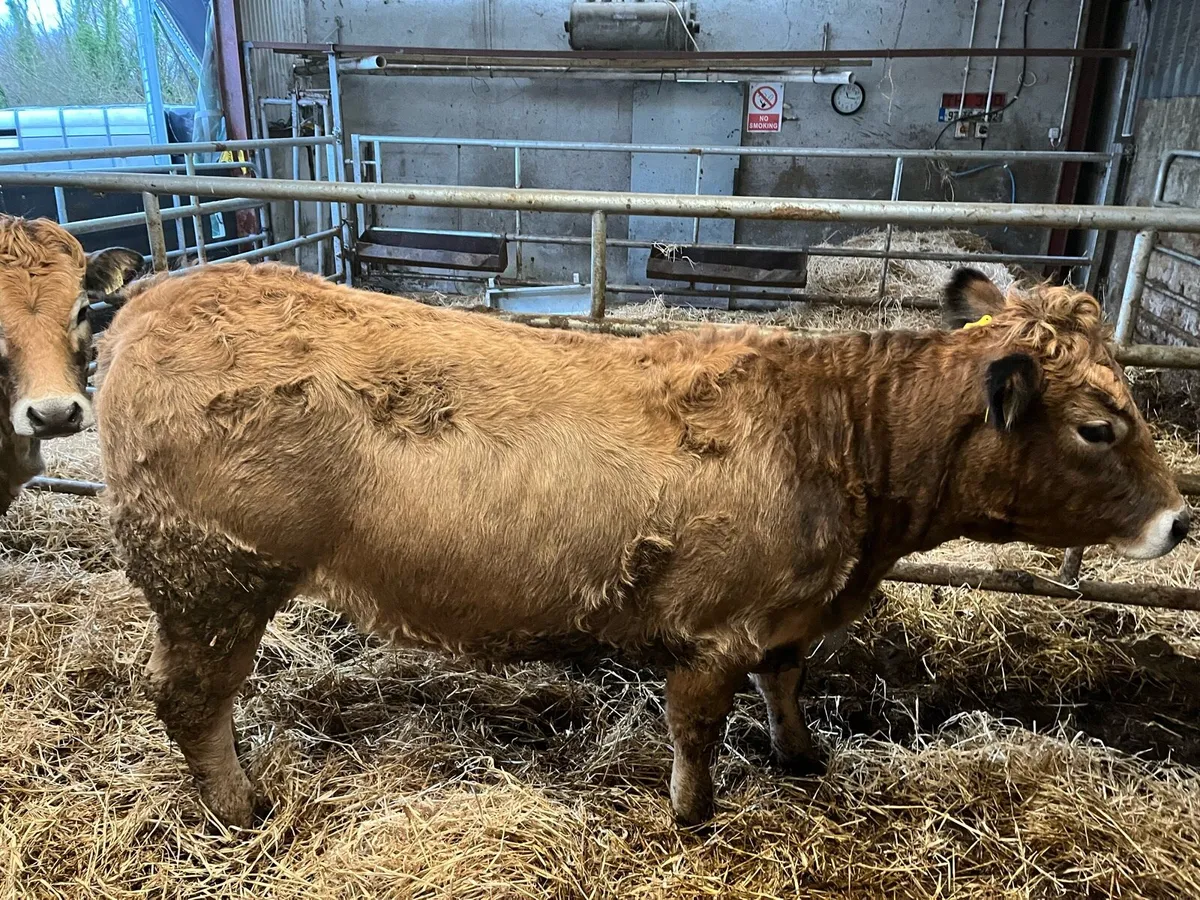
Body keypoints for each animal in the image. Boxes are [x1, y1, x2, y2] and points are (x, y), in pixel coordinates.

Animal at [94, 261, 1188, 828]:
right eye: (1099, 426)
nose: (1180, 518)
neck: (839, 434)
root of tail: (159, 295)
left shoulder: (789, 617)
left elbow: (789, 683)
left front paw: (802, 755)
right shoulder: (713, 632)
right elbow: (696, 730)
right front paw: (694, 814)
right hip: (213, 577)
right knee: (189, 700)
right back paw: (241, 805)